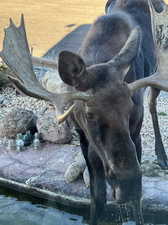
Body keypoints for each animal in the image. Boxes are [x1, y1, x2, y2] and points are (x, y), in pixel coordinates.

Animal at [0, 0, 168, 225]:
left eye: (130, 108)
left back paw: (162, 156)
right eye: (89, 114)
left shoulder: (136, 132)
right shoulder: (84, 139)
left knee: (152, 102)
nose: (128, 184)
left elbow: (138, 204)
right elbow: (97, 198)